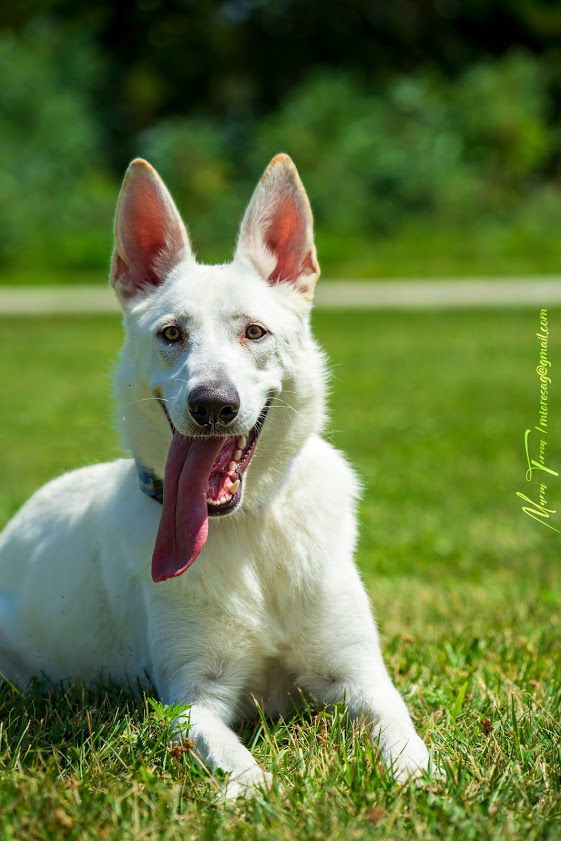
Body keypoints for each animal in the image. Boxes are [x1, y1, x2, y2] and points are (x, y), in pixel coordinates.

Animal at [0, 154, 428, 796]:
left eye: (254, 332)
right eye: (171, 334)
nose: (212, 405)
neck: (247, 528)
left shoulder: (362, 680)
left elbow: (403, 736)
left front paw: (421, 781)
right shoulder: (191, 700)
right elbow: (236, 760)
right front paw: (260, 794)